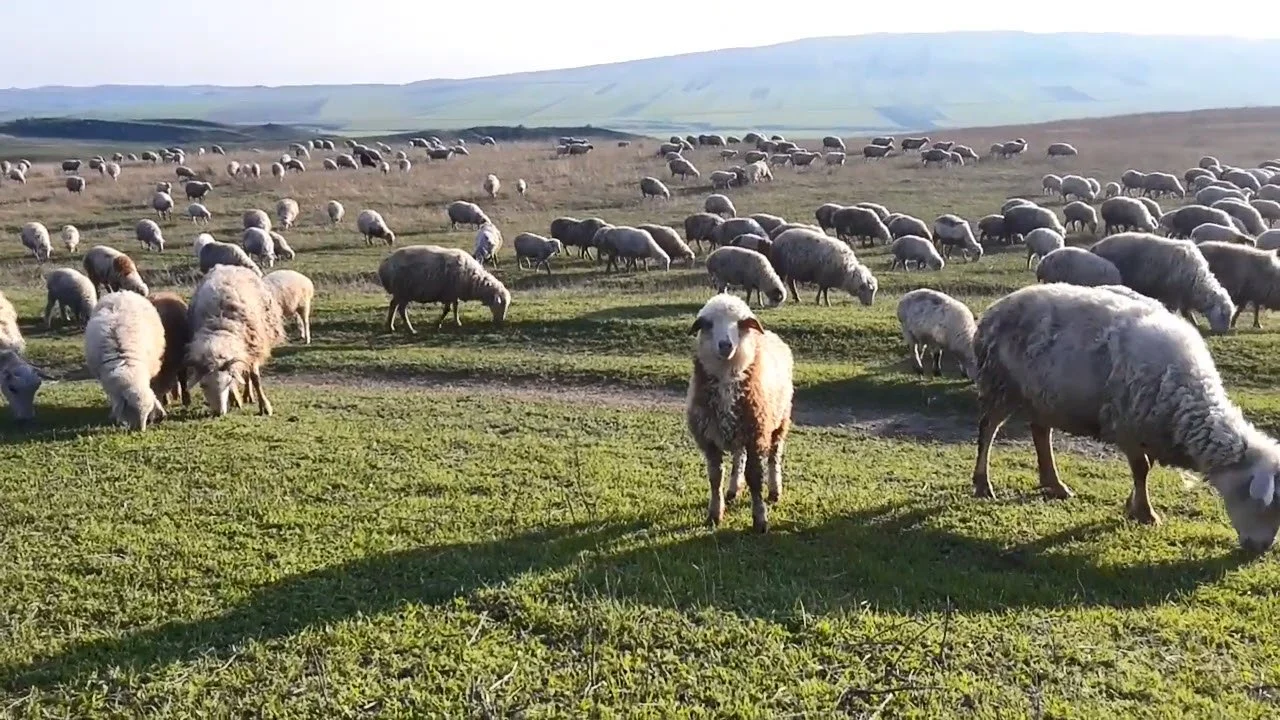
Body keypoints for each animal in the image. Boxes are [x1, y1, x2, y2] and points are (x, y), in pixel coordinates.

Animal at [187, 265, 286, 417]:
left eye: (227, 382)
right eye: (203, 385)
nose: (219, 413)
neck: (220, 327)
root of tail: (228, 266)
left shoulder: (253, 346)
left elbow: (255, 378)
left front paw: (265, 406)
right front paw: (235, 399)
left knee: (247, 374)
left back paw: (249, 395)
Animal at [378, 245, 511, 332]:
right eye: (501, 305)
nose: (501, 322)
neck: (473, 279)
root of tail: (385, 264)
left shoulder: (454, 294)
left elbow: (455, 308)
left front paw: (457, 322)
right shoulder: (449, 293)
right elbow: (447, 309)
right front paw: (438, 324)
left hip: (401, 293)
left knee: (394, 305)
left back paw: (391, 326)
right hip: (403, 291)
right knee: (400, 309)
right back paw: (409, 329)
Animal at [686, 293, 794, 533]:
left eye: (741, 323)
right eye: (708, 324)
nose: (725, 345)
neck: (727, 377)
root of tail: (770, 334)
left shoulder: (756, 435)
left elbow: (755, 477)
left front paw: (760, 519)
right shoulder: (709, 439)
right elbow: (715, 477)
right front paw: (714, 514)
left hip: (780, 421)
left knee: (774, 456)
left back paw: (774, 490)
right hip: (738, 429)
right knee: (738, 457)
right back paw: (733, 489)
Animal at [970, 282, 1280, 551]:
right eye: (1269, 503)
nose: (1261, 549)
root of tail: (995, 308)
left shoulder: (1148, 429)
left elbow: (1146, 468)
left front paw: (1133, 505)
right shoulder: (1127, 425)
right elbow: (1141, 468)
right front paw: (1145, 513)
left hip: (1042, 394)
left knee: (1040, 432)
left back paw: (1054, 484)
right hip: (1001, 383)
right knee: (988, 428)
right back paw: (983, 484)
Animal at [1090, 232, 1235, 333]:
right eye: (1223, 314)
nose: (1223, 332)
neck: (1197, 280)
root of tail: (1096, 246)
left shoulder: (1183, 298)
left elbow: (1187, 312)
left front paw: (1194, 323)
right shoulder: (1173, 296)